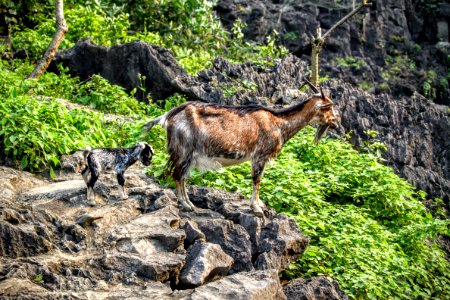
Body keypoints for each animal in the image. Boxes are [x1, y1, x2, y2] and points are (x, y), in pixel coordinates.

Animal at [146, 84, 340, 216]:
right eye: (329, 107)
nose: (336, 123)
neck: (279, 122)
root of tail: (168, 116)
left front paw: (259, 205)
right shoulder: (259, 156)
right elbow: (257, 180)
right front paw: (256, 208)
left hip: (187, 155)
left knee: (182, 177)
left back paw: (190, 204)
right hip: (184, 150)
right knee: (177, 175)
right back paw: (186, 205)